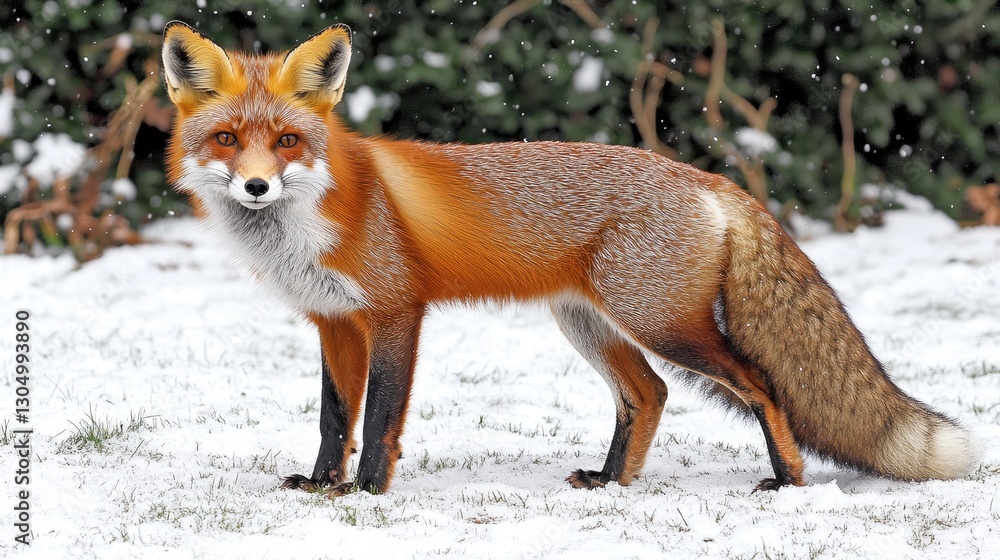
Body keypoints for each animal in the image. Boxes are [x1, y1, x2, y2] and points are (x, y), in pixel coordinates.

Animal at [161, 21, 979, 496]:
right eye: (227, 140)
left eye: (288, 141)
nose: (257, 185)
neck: (313, 217)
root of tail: (707, 177)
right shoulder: (333, 322)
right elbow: (336, 417)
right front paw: (321, 487)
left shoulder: (396, 312)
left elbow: (383, 414)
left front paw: (365, 494)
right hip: (591, 325)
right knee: (648, 395)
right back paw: (613, 481)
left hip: (664, 325)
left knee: (763, 387)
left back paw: (789, 482)